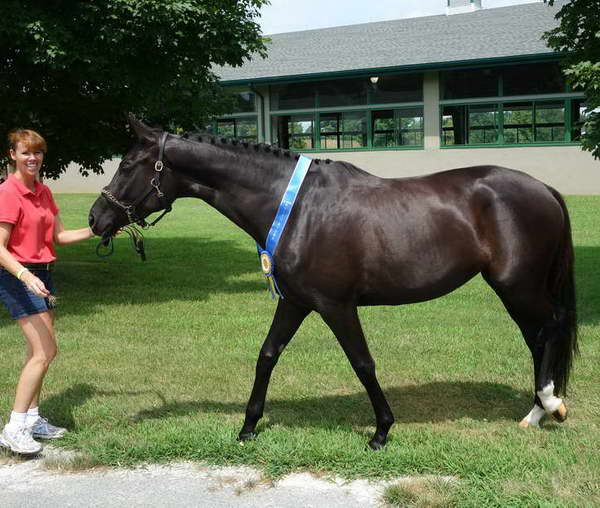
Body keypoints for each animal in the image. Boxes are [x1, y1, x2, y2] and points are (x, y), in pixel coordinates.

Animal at [88, 118, 576, 448]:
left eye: (128, 164)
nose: (96, 218)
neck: (299, 208)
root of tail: (546, 189)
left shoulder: (335, 305)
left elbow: (363, 363)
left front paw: (381, 431)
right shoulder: (295, 302)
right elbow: (267, 355)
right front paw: (248, 426)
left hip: (517, 287)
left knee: (549, 331)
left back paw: (549, 406)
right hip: (516, 290)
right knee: (538, 338)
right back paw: (537, 412)